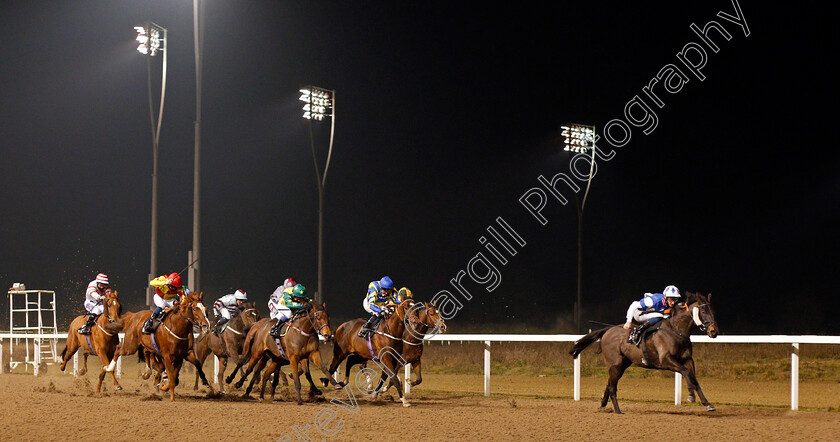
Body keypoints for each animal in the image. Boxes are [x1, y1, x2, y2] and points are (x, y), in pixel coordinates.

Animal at [572, 292, 716, 412]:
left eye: (712, 311)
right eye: (703, 311)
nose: (714, 331)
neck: (676, 331)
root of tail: (608, 330)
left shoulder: (687, 359)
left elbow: (694, 378)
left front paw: (707, 404)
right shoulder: (666, 360)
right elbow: (686, 372)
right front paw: (691, 395)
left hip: (623, 364)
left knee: (610, 383)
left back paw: (603, 405)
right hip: (615, 364)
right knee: (612, 386)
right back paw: (618, 411)